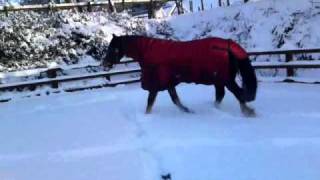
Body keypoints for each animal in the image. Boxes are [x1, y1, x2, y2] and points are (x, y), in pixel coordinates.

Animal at [102, 34, 258, 117]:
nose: (104, 63)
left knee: (238, 94)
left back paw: (248, 112)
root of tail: (227, 45)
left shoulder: (156, 84)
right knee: (221, 95)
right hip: (219, 80)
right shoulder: (169, 83)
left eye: (113, 49)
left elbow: (150, 103)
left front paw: (147, 116)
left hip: (225, 79)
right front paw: (188, 111)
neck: (148, 52)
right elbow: (175, 100)